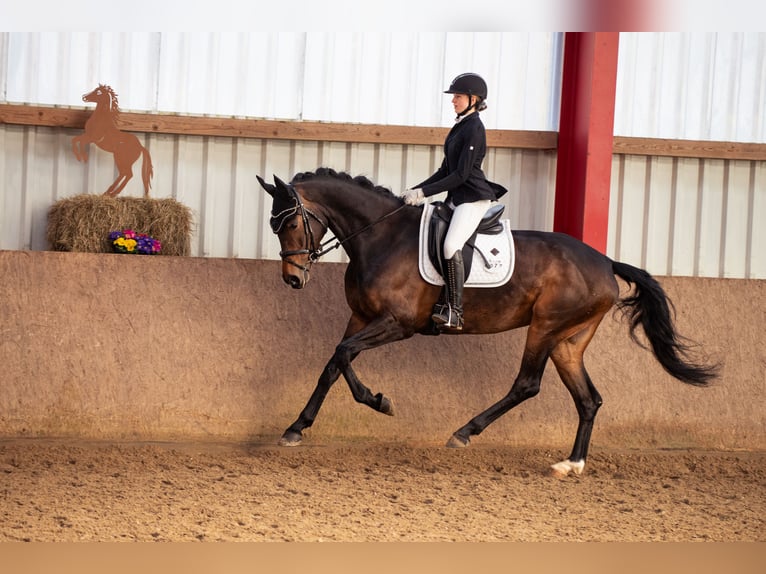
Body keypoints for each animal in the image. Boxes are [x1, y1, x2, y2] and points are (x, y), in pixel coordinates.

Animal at [256, 168, 718, 477]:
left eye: (292, 222)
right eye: (273, 225)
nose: (293, 279)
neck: (380, 237)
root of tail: (605, 262)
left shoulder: (398, 323)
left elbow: (343, 355)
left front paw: (378, 401)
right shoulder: (361, 317)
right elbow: (335, 363)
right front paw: (298, 427)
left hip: (545, 328)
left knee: (527, 384)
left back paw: (465, 432)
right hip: (568, 341)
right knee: (589, 399)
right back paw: (571, 464)